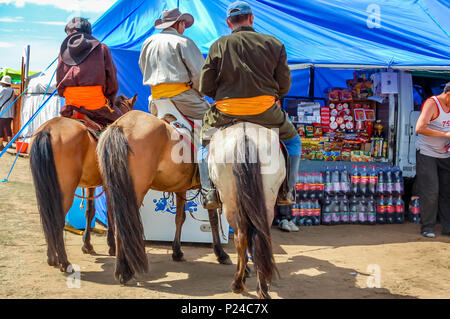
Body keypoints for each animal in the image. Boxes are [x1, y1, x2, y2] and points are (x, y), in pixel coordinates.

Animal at [29, 95, 136, 272]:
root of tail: (47, 130)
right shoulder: (108, 184)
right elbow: (110, 213)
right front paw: (112, 246)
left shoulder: (91, 184)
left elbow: (90, 211)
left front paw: (87, 245)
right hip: (64, 191)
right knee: (57, 219)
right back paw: (64, 262)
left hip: (44, 189)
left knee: (47, 217)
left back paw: (52, 258)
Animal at [98, 110, 232, 284]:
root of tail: (120, 124)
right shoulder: (209, 188)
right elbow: (213, 220)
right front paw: (221, 254)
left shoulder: (181, 189)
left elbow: (180, 218)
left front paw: (177, 251)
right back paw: (125, 272)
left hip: (112, 190)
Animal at [207, 122, 284, 300]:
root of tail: (245, 135)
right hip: (267, 200)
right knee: (261, 236)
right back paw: (262, 288)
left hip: (229, 201)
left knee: (241, 238)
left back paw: (238, 283)